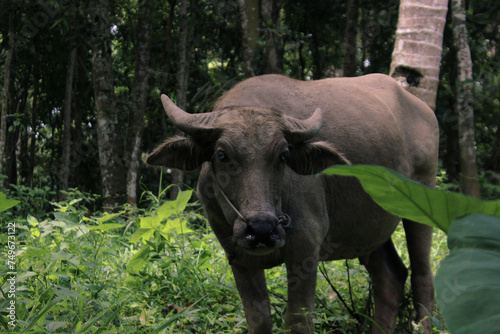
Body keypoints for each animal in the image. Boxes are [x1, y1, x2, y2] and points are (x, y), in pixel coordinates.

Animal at [146, 73, 440, 334]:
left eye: (284, 155)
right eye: (221, 154)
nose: (262, 229)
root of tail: (423, 109)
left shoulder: (305, 250)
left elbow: (298, 322)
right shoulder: (237, 256)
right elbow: (258, 320)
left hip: (423, 199)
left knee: (422, 276)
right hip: (368, 228)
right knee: (390, 278)